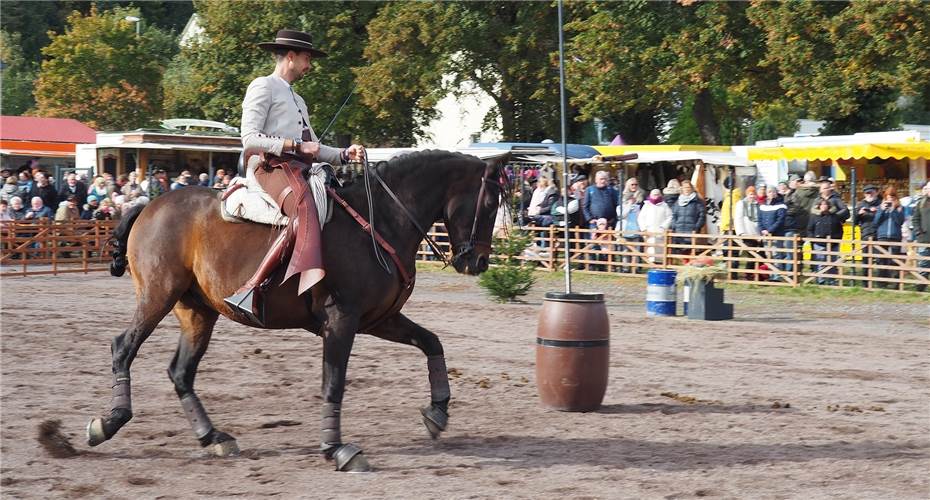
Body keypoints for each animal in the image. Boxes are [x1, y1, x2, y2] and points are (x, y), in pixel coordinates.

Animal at [87, 150, 508, 470]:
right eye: (489, 205)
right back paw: (108, 422)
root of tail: (148, 204)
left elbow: (432, 342)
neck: (380, 222)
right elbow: (333, 382)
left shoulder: (380, 319)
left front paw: (438, 412)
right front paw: (336, 449)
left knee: (181, 373)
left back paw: (213, 436)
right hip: (157, 297)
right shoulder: (342, 320)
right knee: (124, 348)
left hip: (197, 313)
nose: (478, 262)